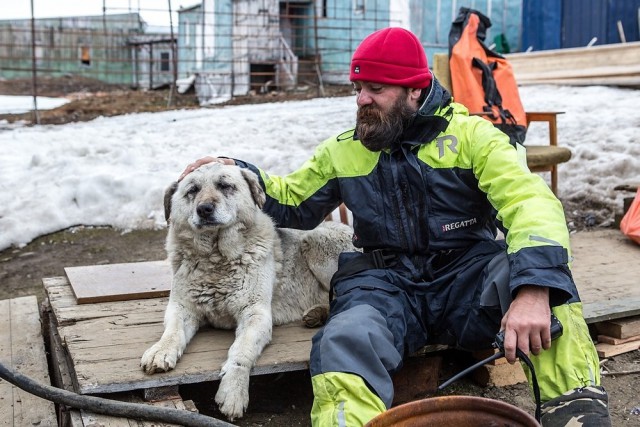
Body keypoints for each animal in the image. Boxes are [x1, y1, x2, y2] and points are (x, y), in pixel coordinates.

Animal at [139, 164, 356, 422]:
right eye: (192, 190)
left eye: (225, 185)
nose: (204, 209)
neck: (216, 257)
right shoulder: (181, 308)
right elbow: (172, 332)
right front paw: (161, 350)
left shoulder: (255, 314)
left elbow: (241, 351)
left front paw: (234, 390)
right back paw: (316, 314)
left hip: (316, 241)